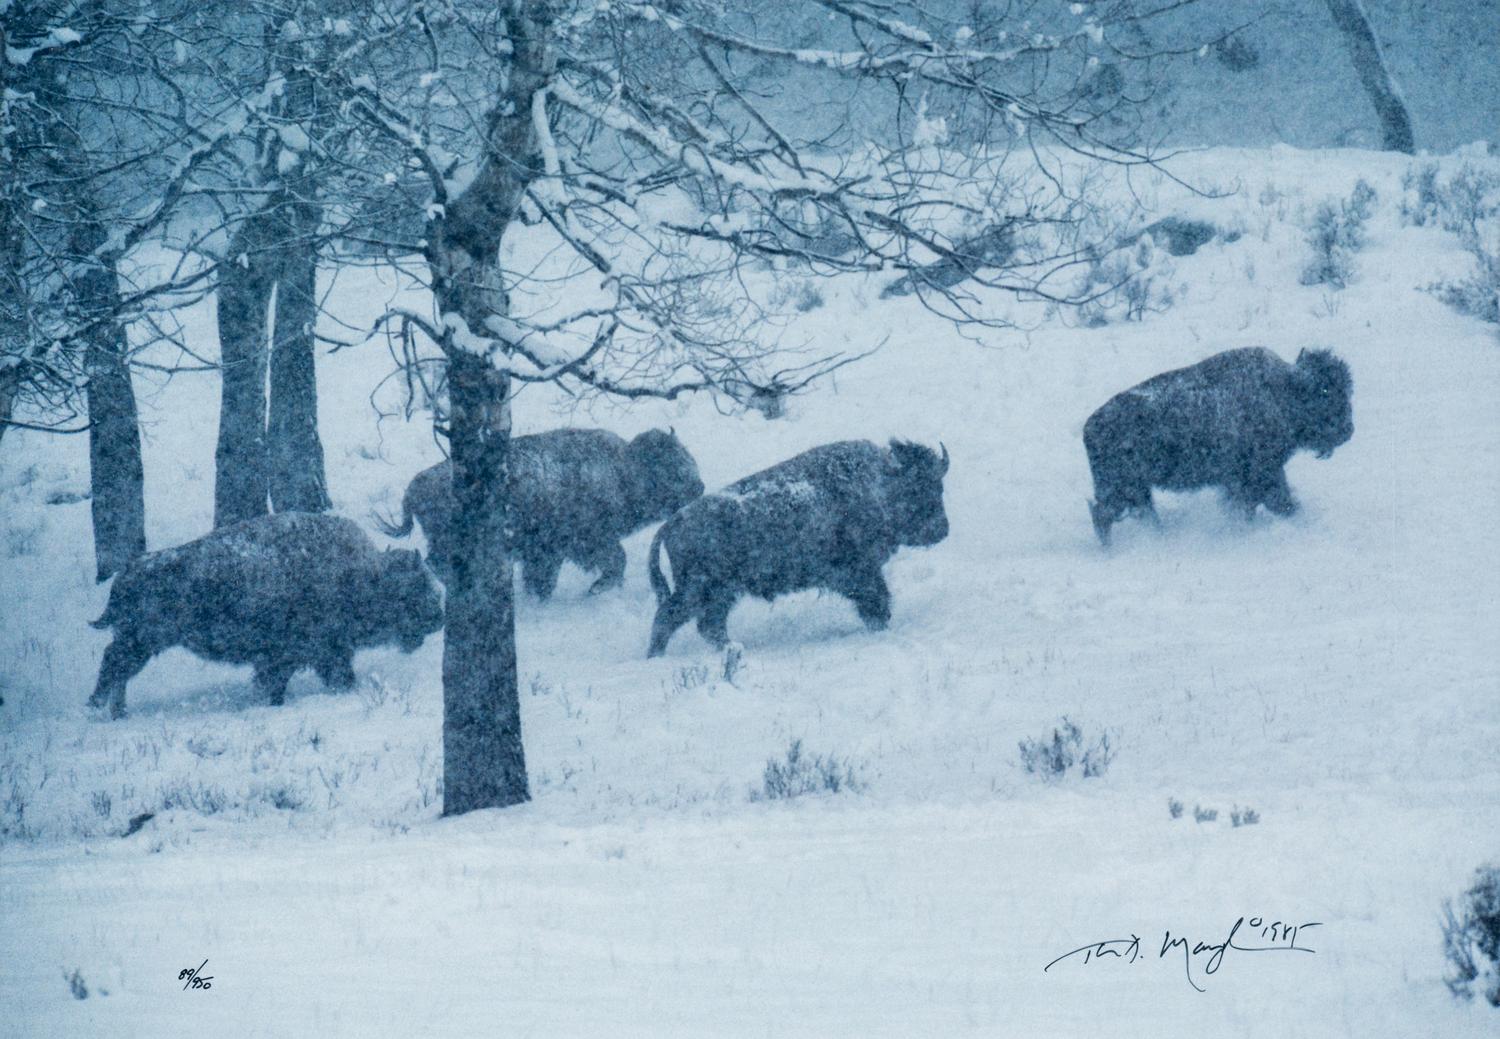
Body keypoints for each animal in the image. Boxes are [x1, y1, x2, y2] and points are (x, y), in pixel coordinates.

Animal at [88, 512, 443, 719]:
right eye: (415, 586)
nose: (438, 616)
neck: (359, 574)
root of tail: (129, 570)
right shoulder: (314, 653)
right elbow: (329, 678)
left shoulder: (286, 658)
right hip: (142, 641)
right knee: (113, 664)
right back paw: (100, 707)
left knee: (118, 670)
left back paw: (118, 711)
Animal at [380, 428, 704, 599]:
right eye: (673, 466)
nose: (699, 487)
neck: (624, 469)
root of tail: (414, 488)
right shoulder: (585, 541)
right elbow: (615, 559)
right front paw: (597, 588)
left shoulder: (548, 553)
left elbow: (543, 578)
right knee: (437, 562)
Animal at [646, 439, 950, 656]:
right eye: (920, 488)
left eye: (939, 486)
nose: (942, 530)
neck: (881, 484)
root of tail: (672, 523)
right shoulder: (861, 572)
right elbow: (877, 601)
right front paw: (881, 626)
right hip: (700, 590)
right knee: (669, 617)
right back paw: (657, 656)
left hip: (722, 594)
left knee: (708, 625)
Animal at [1083, 346, 1354, 545]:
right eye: (1326, 390)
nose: (1348, 430)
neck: (1282, 391)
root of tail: (1089, 427)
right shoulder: (1262, 473)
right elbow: (1278, 502)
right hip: (1122, 488)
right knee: (1104, 515)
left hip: (1137, 490)